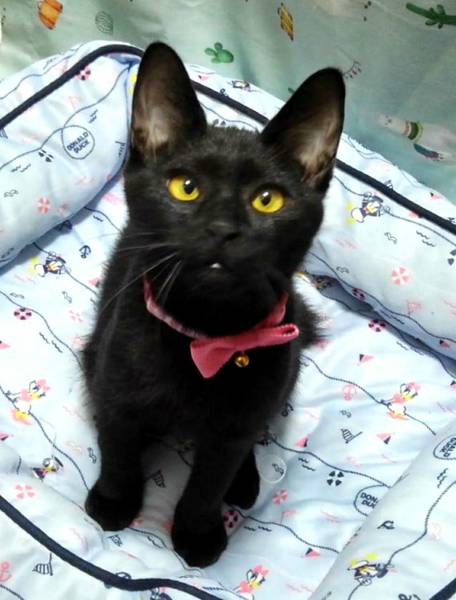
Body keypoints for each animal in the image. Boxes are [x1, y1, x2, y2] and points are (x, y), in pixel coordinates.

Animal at [83, 42, 344, 567]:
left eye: (267, 200)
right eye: (185, 187)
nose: (224, 229)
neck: (204, 336)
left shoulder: (234, 427)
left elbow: (208, 483)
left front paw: (197, 535)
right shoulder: (115, 388)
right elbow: (117, 448)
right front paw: (114, 503)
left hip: (283, 376)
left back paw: (244, 483)